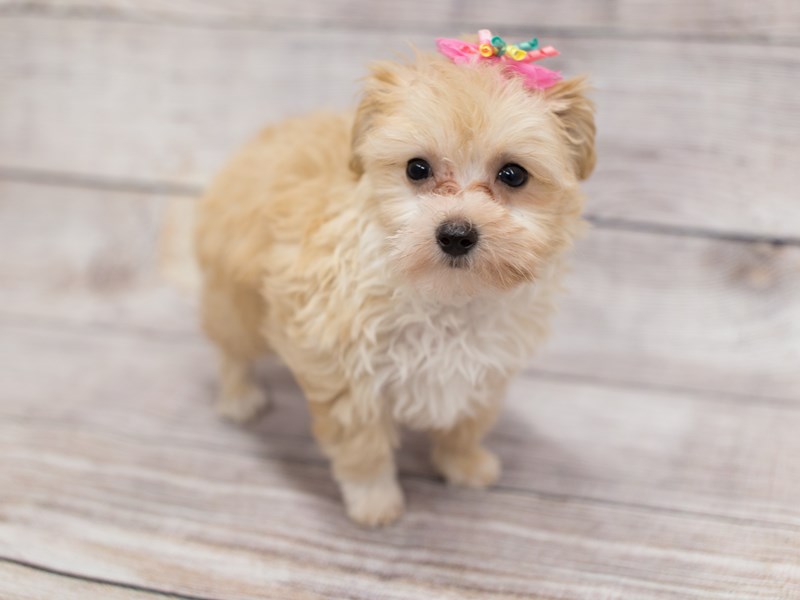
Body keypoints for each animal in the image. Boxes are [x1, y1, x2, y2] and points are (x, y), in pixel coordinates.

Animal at [194, 38, 592, 524]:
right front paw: (375, 502)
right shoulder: (348, 378)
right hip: (235, 299)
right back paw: (239, 396)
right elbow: (362, 447)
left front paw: (464, 463)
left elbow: (466, 423)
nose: (455, 235)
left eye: (513, 174)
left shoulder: (484, 371)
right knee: (232, 350)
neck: (447, 301)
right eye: (416, 169)